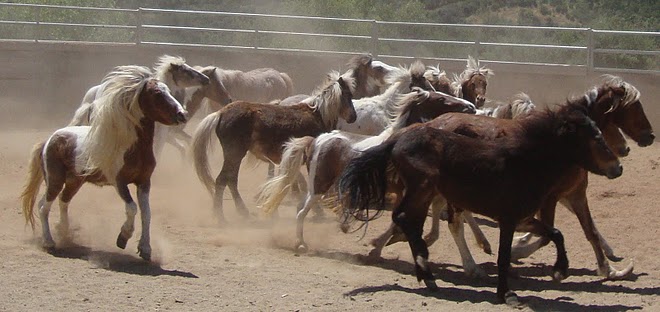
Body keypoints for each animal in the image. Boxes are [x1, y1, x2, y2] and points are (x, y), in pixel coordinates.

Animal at [20, 65, 186, 260]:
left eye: (169, 91)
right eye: (157, 93)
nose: (182, 114)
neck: (131, 147)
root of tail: (49, 139)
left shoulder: (144, 182)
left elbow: (147, 213)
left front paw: (145, 249)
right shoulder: (119, 182)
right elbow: (132, 208)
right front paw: (123, 238)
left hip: (74, 181)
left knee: (63, 201)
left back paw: (65, 233)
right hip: (55, 180)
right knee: (43, 206)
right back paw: (49, 242)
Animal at [191, 70, 356, 223]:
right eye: (347, 95)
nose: (353, 117)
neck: (317, 114)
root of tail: (220, 113)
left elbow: (294, 180)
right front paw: (316, 211)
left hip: (234, 156)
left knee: (230, 180)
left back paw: (241, 212)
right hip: (235, 154)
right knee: (223, 180)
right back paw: (221, 217)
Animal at [255, 88, 476, 251]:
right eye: (441, 98)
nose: (471, 107)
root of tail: (315, 141)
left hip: (316, 186)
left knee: (301, 207)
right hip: (319, 185)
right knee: (301, 212)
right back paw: (301, 244)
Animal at [340, 102, 624, 304]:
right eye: (596, 137)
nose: (618, 167)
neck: (526, 162)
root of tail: (398, 139)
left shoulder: (523, 218)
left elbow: (555, 233)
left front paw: (560, 270)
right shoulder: (508, 219)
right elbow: (504, 255)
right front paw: (507, 294)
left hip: (424, 194)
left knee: (410, 223)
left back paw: (426, 274)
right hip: (422, 189)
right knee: (404, 219)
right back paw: (427, 271)